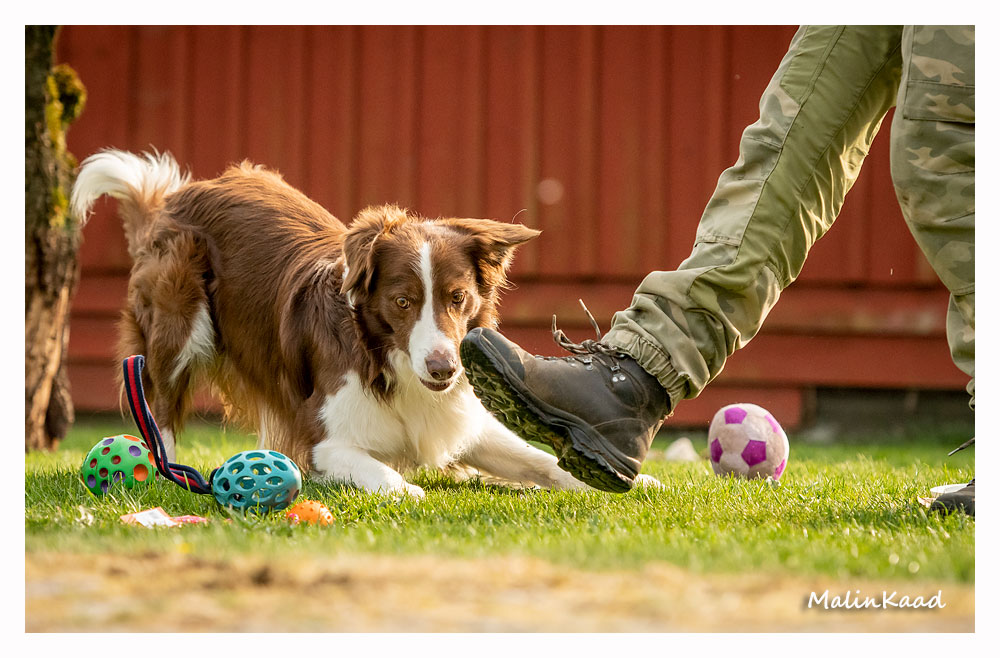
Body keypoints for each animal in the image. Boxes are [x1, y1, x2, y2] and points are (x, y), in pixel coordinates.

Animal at [69, 149, 615, 498]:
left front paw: (602, 480)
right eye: (402, 302)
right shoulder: (320, 441)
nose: (443, 370)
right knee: (160, 409)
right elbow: (387, 478)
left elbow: (538, 458)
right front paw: (409, 490)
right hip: (180, 327)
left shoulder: (462, 419)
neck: (387, 362)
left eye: (457, 298)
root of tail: (175, 197)